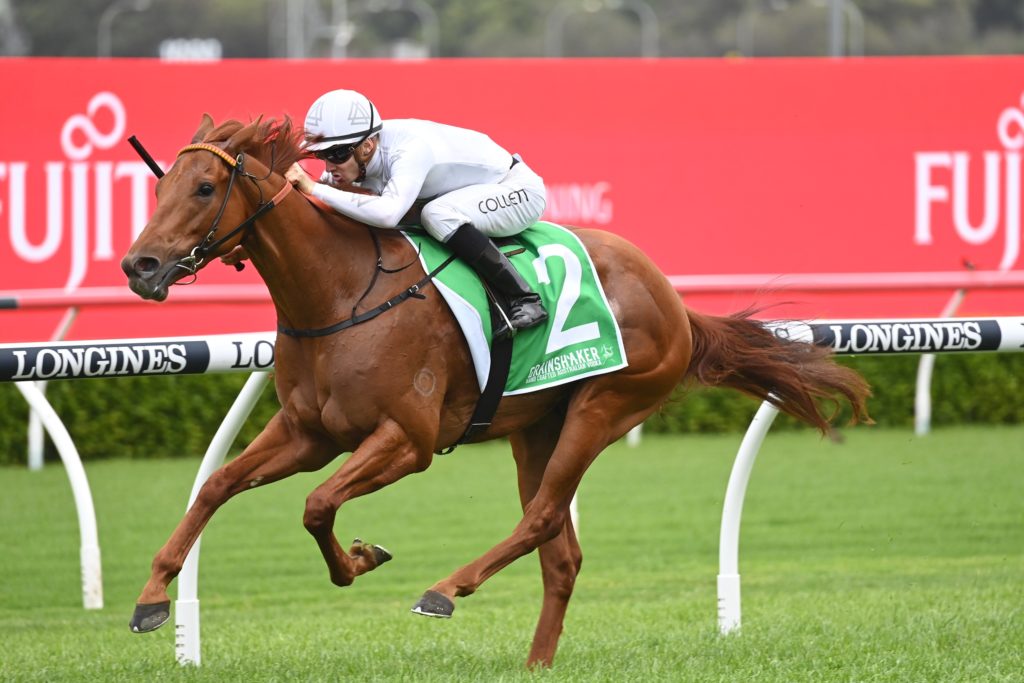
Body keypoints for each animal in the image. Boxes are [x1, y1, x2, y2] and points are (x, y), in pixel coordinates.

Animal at [121, 115, 871, 668]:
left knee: (541, 518)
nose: (140, 265)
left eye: (205, 187)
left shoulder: (408, 440)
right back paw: (536, 661)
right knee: (561, 554)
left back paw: (446, 589)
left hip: (605, 406)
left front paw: (360, 560)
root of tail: (675, 302)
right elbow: (218, 486)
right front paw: (152, 596)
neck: (340, 291)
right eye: (159, 188)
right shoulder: (307, 433)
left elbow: (317, 503)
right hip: (539, 424)